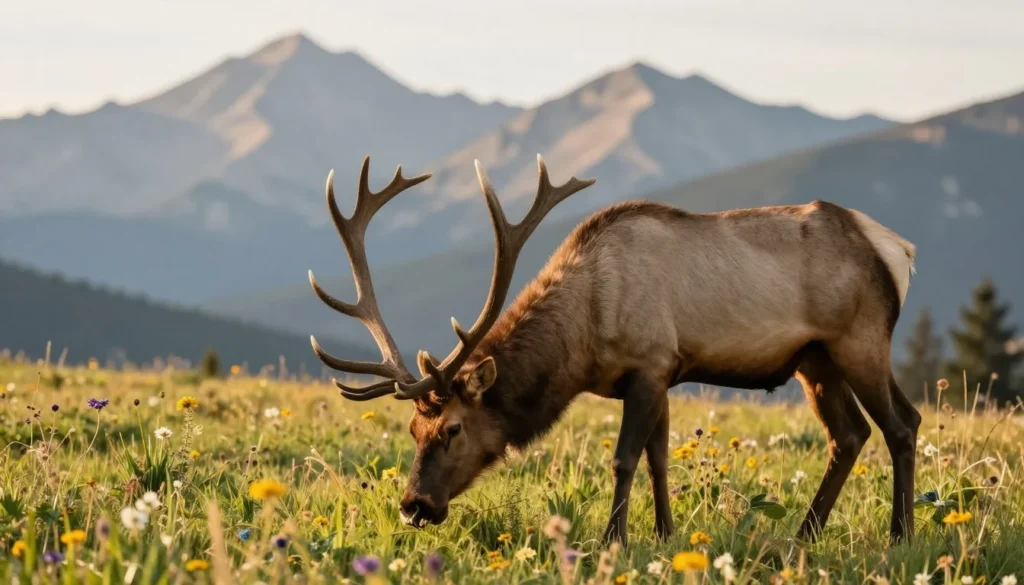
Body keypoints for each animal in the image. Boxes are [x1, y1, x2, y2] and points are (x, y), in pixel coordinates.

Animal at [307, 155, 920, 546]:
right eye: (413, 429)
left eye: (453, 428)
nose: (414, 506)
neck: (583, 337)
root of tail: (899, 249)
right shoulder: (663, 372)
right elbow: (658, 458)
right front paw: (666, 536)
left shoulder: (649, 363)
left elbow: (625, 459)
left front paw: (614, 540)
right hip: (814, 361)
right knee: (850, 434)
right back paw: (804, 535)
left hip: (861, 339)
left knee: (901, 424)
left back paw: (900, 535)